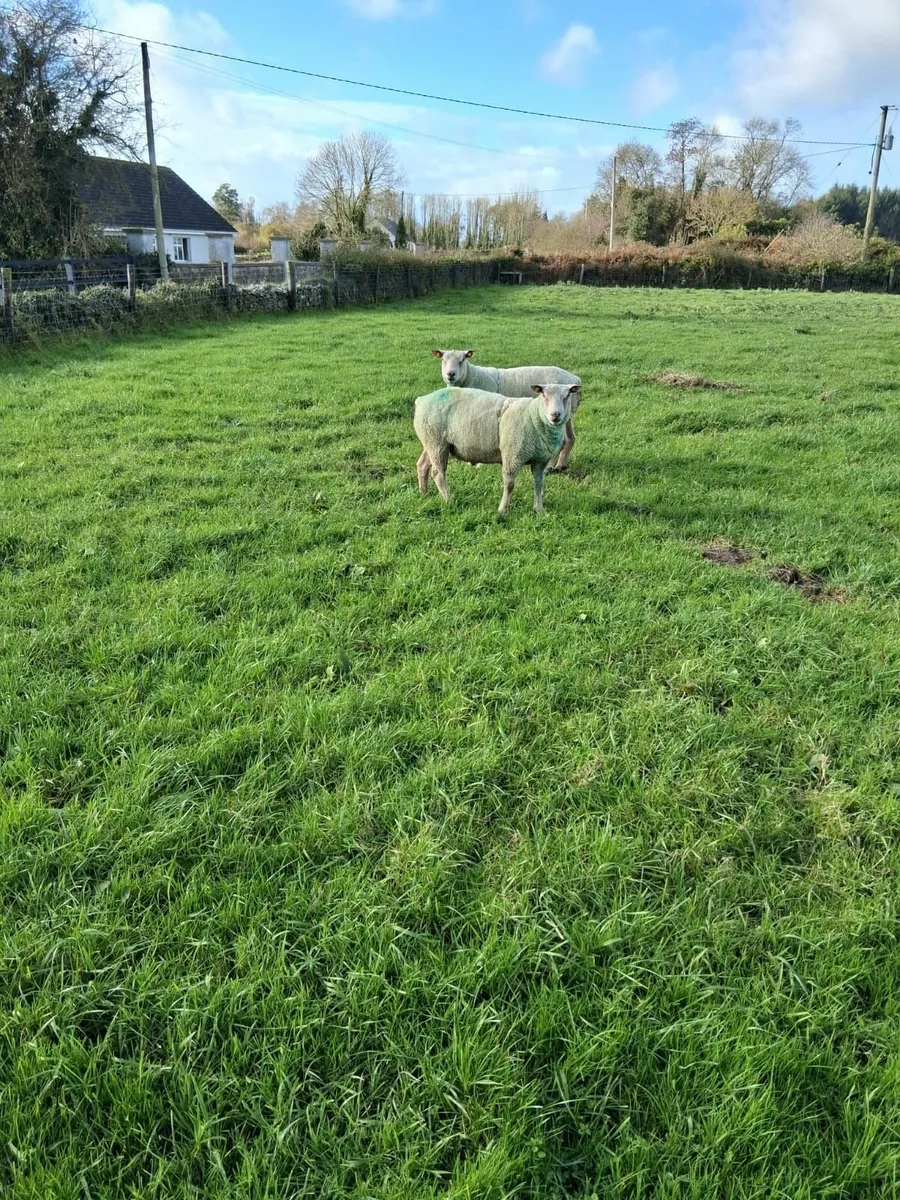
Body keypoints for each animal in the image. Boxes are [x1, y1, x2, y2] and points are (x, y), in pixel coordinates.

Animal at [413, 383, 580, 516]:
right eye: (543, 395)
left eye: (567, 395)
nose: (555, 415)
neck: (533, 416)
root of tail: (421, 400)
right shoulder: (512, 455)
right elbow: (510, 484)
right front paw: (503, 511)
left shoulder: (541, 460)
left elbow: (539, 483)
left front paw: (539, 509)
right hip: (437, 442)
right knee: (438, 472)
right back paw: (448, 500)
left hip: (432, 442)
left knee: (422, 465)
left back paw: (424, 494)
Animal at [431, 349, 583, 472]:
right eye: (443, 360)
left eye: (462, 360)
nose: (450, 374)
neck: (472, 377)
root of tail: (576, 380)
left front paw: (480, 465)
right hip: (566, 414)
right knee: (570, 439)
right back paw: (560, 465)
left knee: (563, 441)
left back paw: (550, 467)